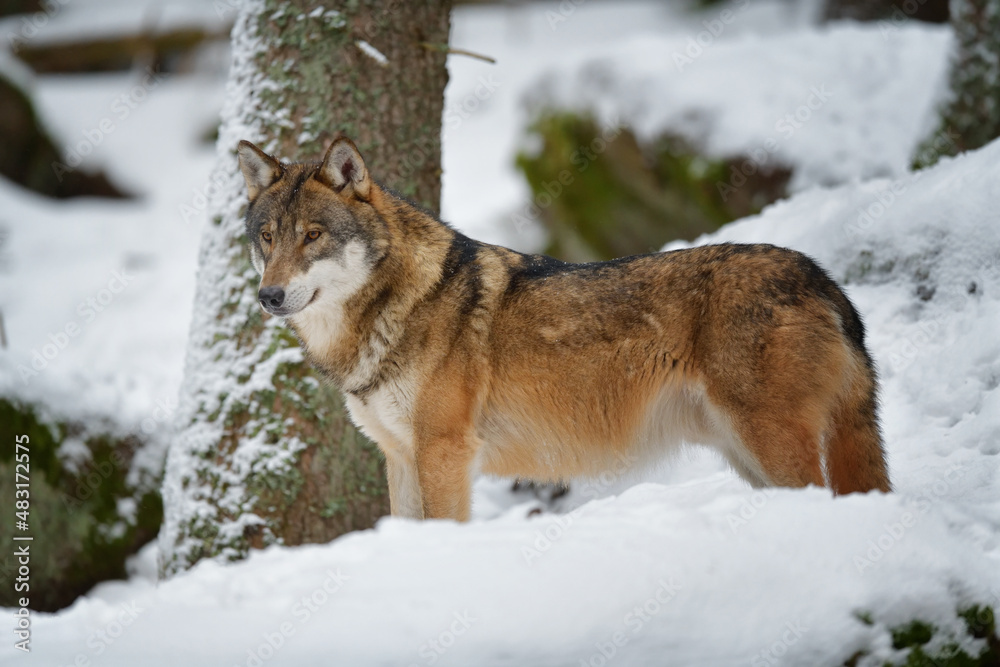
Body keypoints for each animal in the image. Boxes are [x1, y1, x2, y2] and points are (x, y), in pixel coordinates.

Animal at [236, 135, 891, 521]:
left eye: (313, 236)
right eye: (267, 238)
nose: (269, 296)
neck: (392, 307)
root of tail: (821, 277)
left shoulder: (445, 451)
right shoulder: (400, 457)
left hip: (770, 446)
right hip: (749, 457)